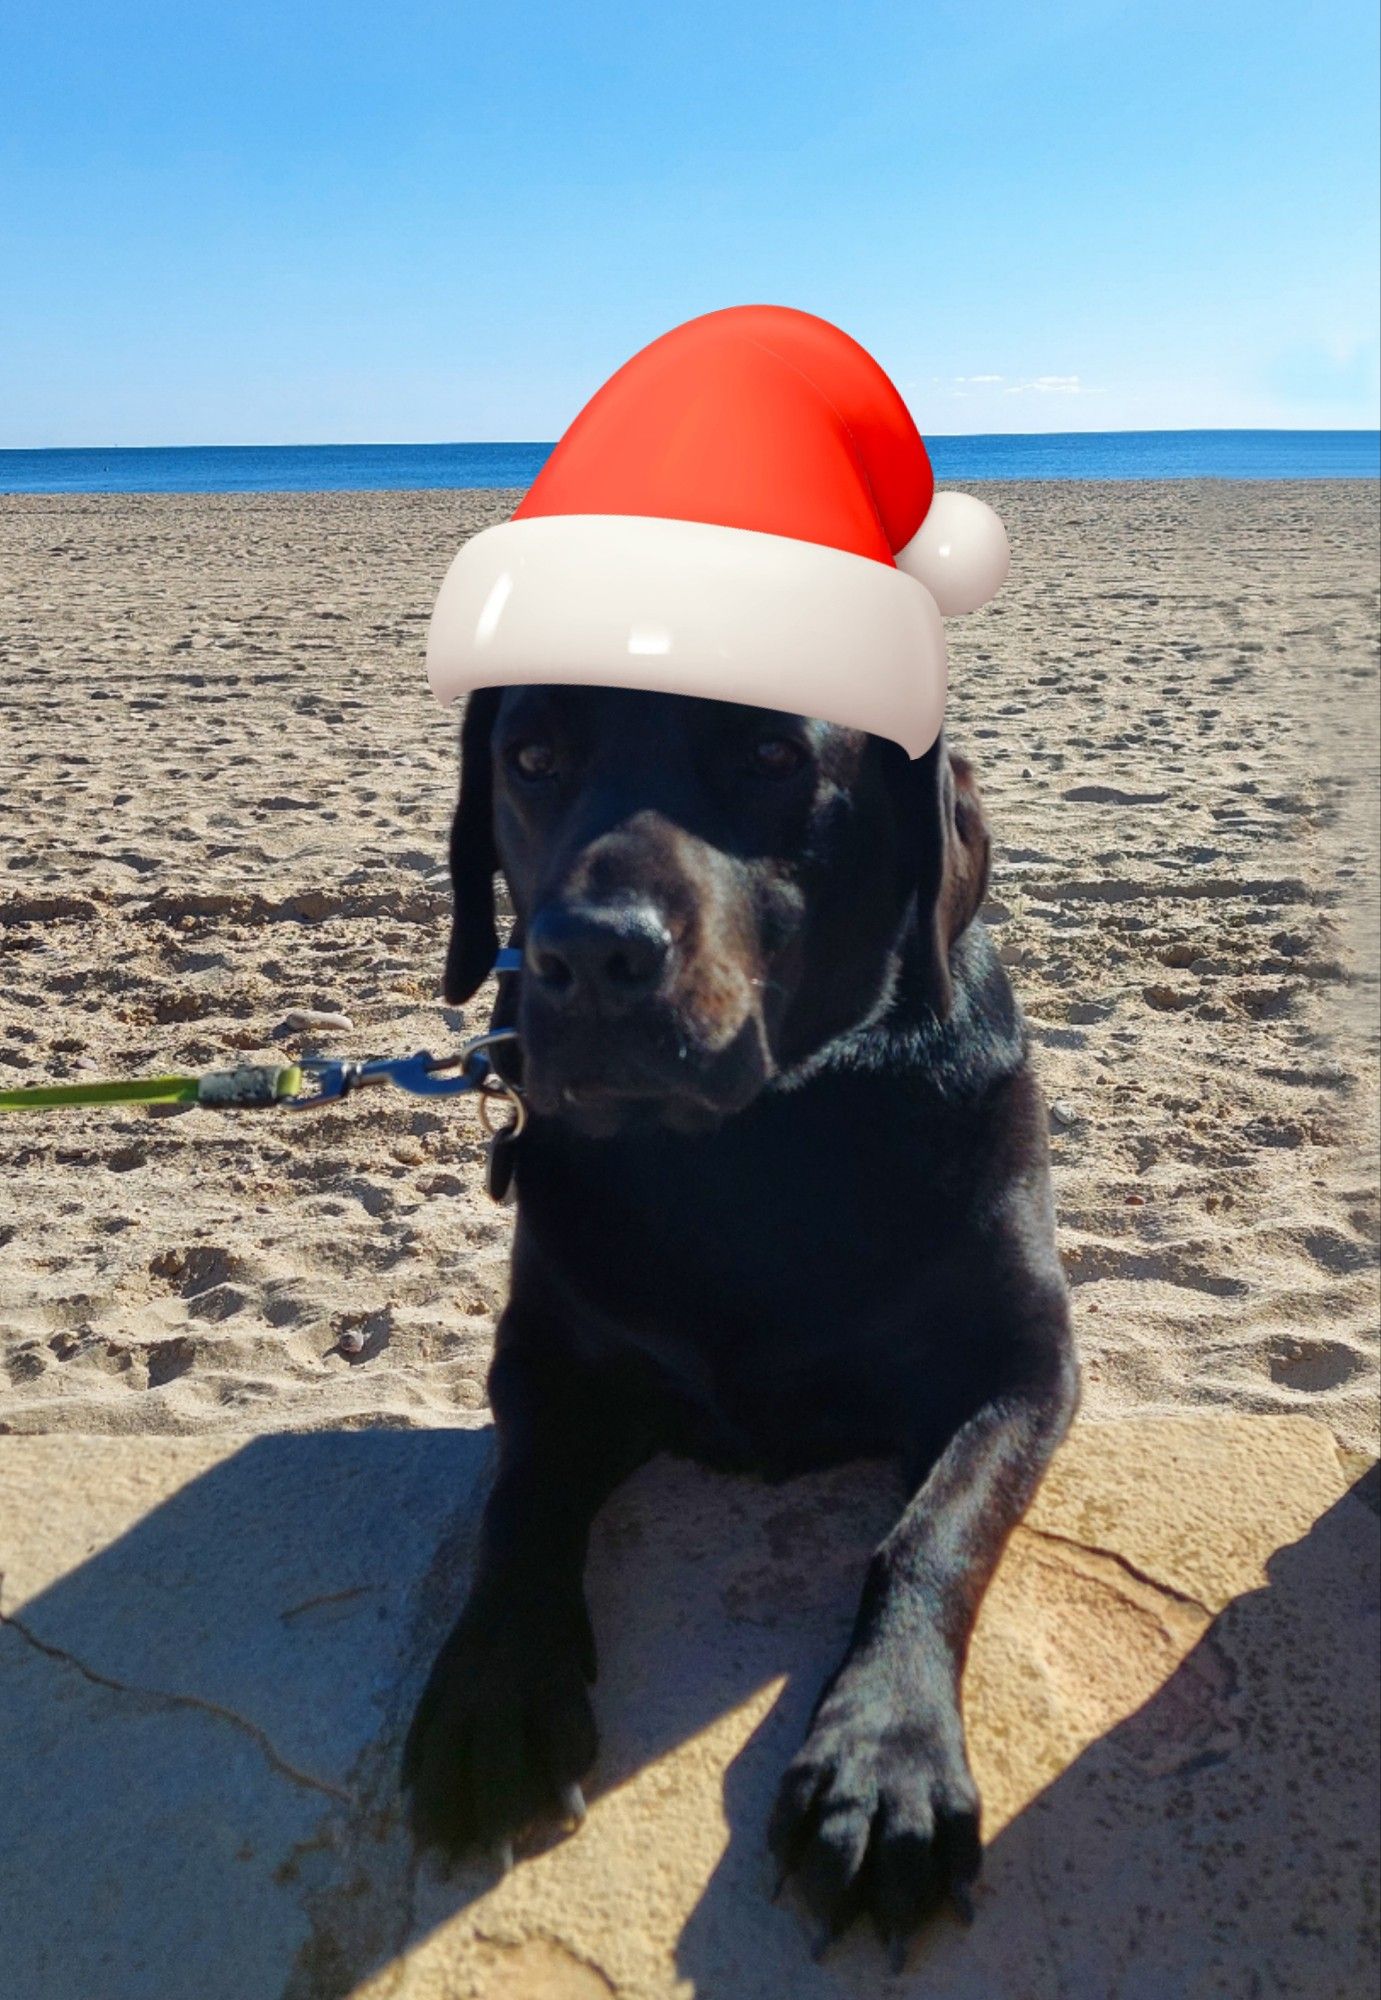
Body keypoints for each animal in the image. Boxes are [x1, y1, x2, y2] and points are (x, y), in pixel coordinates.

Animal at [400, 684, 1072, 1952]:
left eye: (770, 752)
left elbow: (931, 1533)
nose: (590, 953)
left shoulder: (1021, 1360)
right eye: (532, 755)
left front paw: (884, 1759)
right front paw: (493, 1692)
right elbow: (518, 1501)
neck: (749, 1140)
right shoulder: (544, 1354)